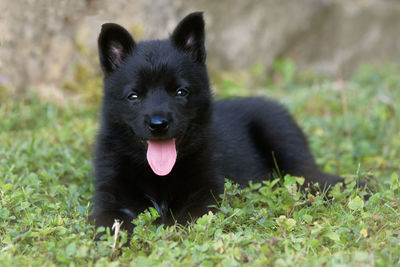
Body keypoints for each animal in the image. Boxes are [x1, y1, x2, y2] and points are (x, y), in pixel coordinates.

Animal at [93, 11, 344, 233]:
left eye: (181, 92)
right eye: (133, 96)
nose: (158, 124)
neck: (157, 175)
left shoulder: (205, 194)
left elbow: (182, 221)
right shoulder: (110, 200)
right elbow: (111, 227)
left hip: (283, 141)